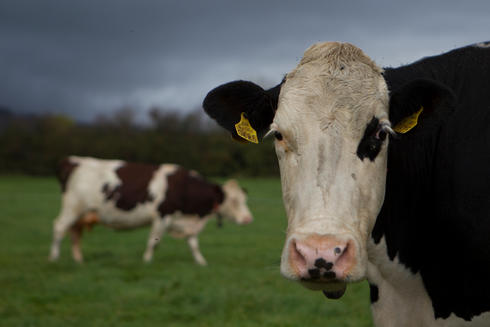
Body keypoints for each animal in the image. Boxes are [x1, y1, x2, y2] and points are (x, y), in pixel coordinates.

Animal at [49, 155, 253, 266]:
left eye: (244, 199)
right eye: (234, 200)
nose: (248, 219)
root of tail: (73, 161)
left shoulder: (187, 224)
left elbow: (193, 244)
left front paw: (201, 262)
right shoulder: (162, 216)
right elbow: (153, 242)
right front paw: (147, 261)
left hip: (81, 214)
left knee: (74, 234)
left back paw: (78, 260)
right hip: (73, 208)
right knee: (59, 228)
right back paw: (54, 258)